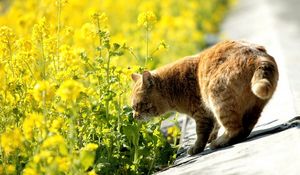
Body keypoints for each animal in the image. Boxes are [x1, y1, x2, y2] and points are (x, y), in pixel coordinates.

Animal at [131, 39, 278, 154]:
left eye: (139, 105)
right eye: (132, 107)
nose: (134, 116)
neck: (173, 86)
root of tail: (258, 56)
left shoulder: (201, 114)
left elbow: (201, 134)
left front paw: (197, 147)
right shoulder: (209, 114)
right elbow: (215, 127)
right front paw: (211, 137)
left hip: (218, 100)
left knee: (236, 129)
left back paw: (219, 142)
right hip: (253, 107)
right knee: (246, 127)